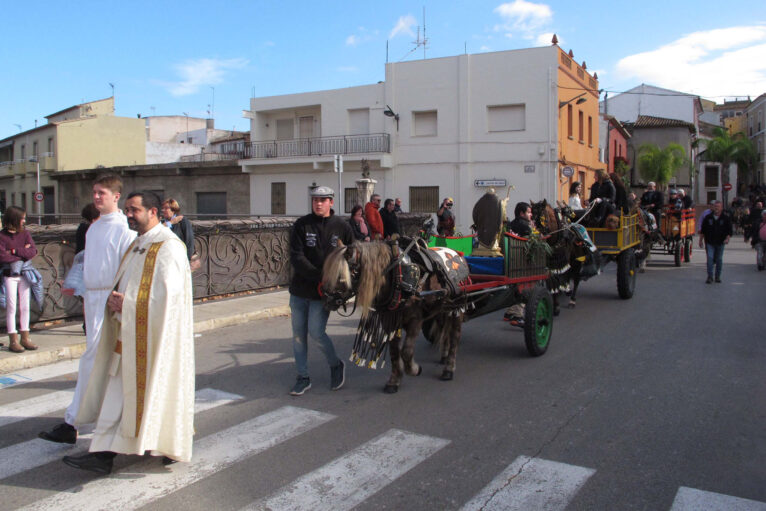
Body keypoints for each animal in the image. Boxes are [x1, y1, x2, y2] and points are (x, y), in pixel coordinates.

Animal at [320, 241, 464, 396]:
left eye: (341, 275)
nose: (327, 301)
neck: (397, 278)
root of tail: (457, 254)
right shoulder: (390, 321)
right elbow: (394, 352)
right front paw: (394, 381)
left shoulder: (415, 319)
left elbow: (406, 352)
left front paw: (414, 369)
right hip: (441, 309)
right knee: (444, 330)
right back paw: (444, 356)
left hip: (457, 307)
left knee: (455, 336)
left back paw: (449, 368)